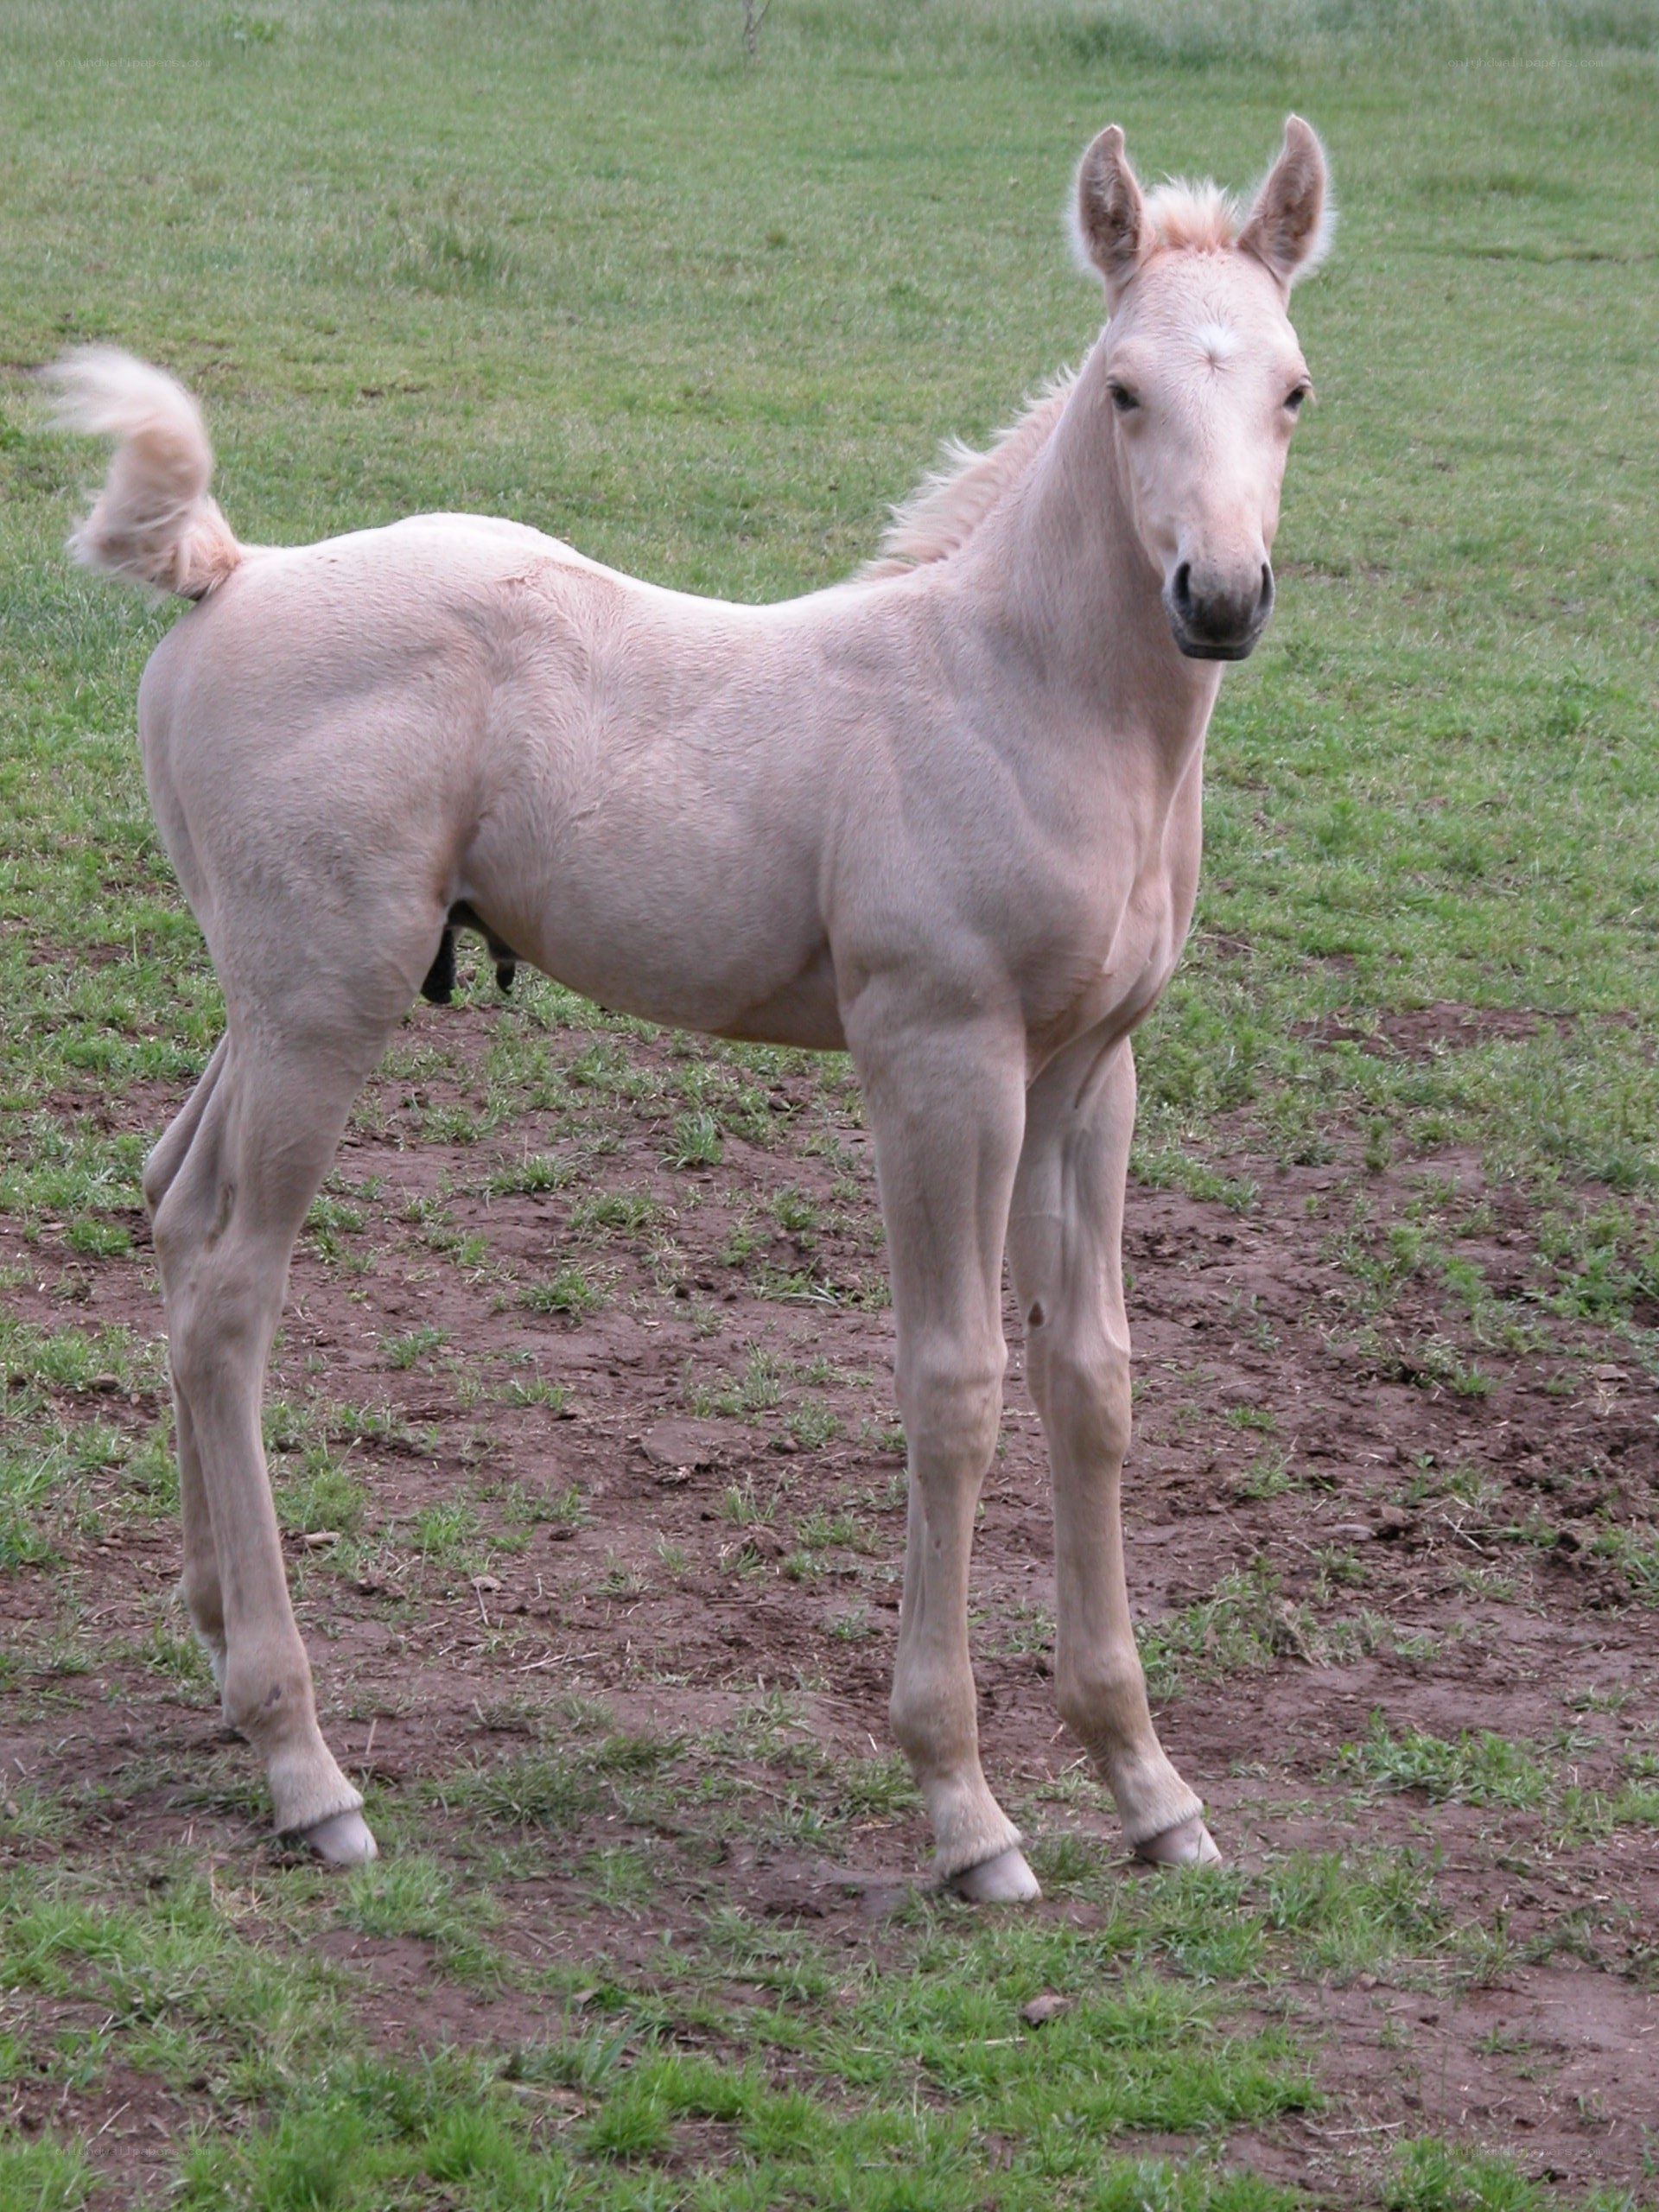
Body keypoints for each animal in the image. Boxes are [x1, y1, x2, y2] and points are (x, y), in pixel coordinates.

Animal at [52, 118, 1330, 1901]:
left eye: (1292, 389)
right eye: (1128, 389)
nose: (1219, 596)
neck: (1027, 696)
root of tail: (226, 573)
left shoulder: (1091, 1075)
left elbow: (1092, 1386)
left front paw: (1150, 1789)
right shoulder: (940, 1060)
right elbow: (955, 1388)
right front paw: (965, 1807)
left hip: (270, 996)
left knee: (174, 1204)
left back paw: (217, 1639)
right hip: (323, 1011)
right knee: (230, 1297)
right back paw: (305, 1763)